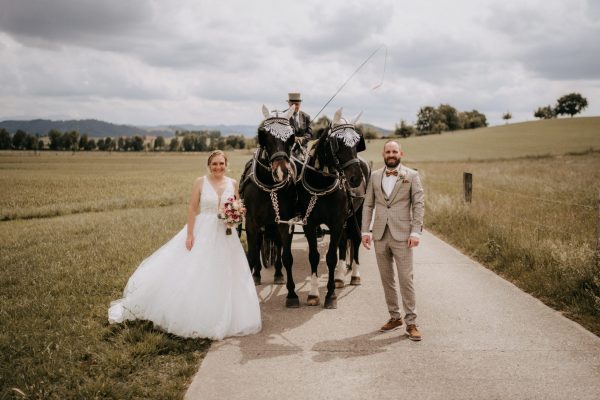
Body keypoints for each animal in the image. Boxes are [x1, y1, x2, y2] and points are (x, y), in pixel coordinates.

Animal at [240, 104, 300, 308]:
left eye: (291, 136)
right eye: (263, 134)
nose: (281, 171)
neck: (270, 188)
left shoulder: (285, 222)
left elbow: (287, 256)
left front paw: (292, 294)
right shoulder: (251, 222)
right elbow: (251, 255)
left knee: (279, 246)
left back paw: (278, 274)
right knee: (259, 245)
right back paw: (257, 275)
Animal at [296, 108, 370, 308]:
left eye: (357, 142)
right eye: (337, 142)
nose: (355, 178)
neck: (321, 183)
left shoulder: (337, 222)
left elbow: (330, 257)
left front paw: (330, 296)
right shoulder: (309, 224)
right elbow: (314, 256)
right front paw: (313, 294)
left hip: (357, 212)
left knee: (356, 238)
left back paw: (354, 275)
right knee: (344, 241)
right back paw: (339, 277)